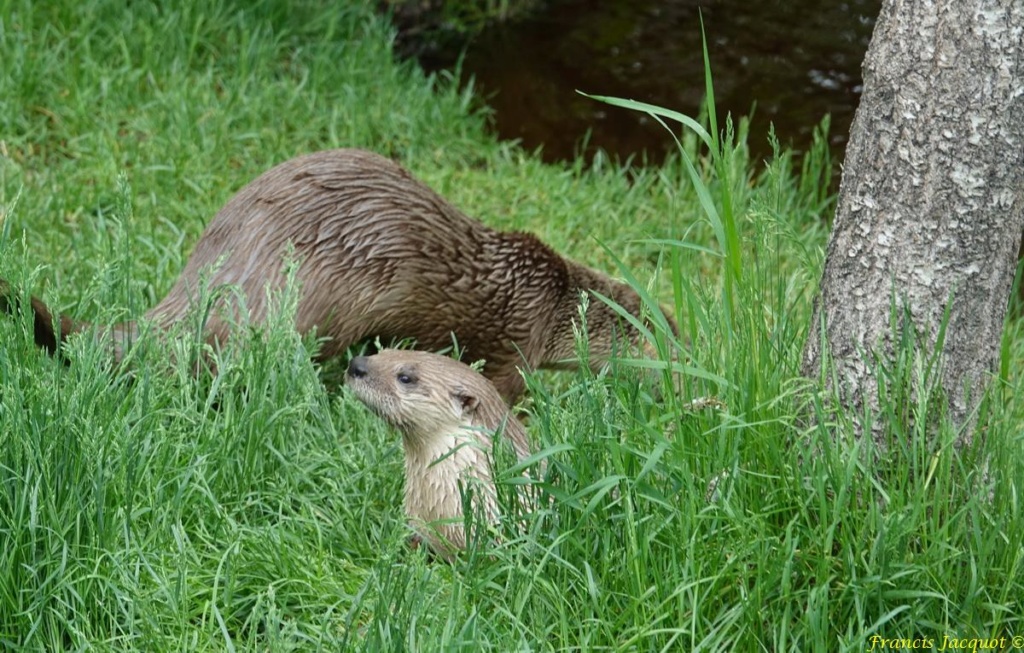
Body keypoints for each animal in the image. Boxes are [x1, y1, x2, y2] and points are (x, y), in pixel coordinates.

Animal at [4, 150, 675, 401]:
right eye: (668, 340)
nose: (690, 365)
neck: (556, 300)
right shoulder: (518, 345)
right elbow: (503, 388)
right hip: (314, 304)